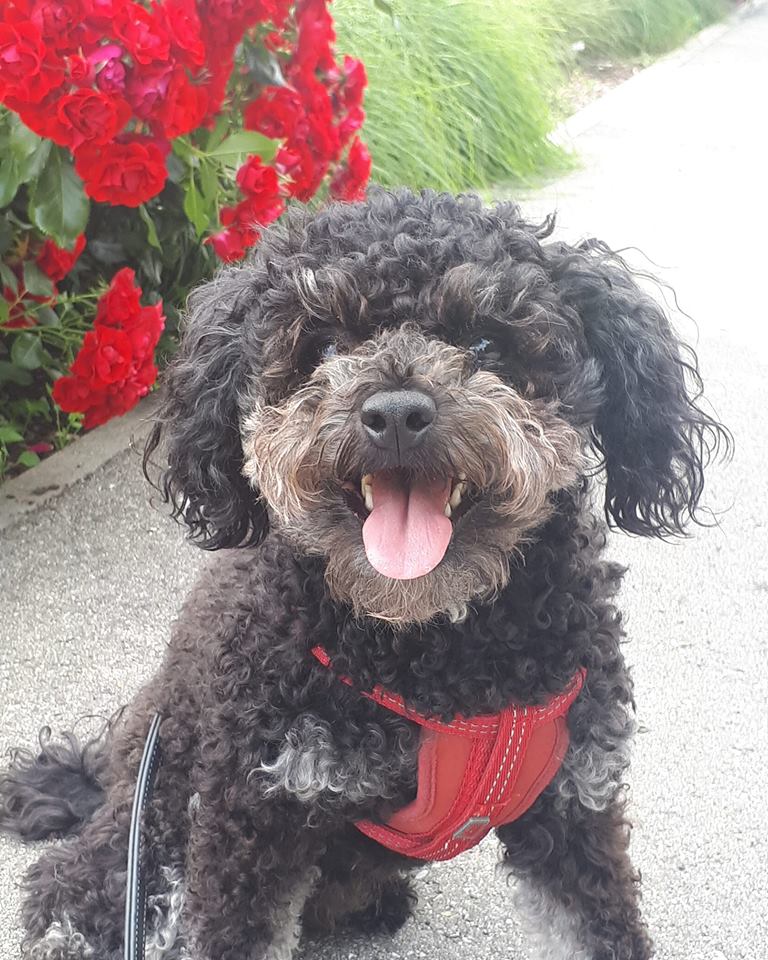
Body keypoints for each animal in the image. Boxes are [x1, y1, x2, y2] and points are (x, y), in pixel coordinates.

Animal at [0, 189, 728, 960]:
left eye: (485, 344)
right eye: (324, 346)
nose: (397, 413)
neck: (436, 651)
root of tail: (110, 769)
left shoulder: (571, 804)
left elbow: (594, 925)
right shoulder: (251, 816)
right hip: (153, 841)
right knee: (69, 891)